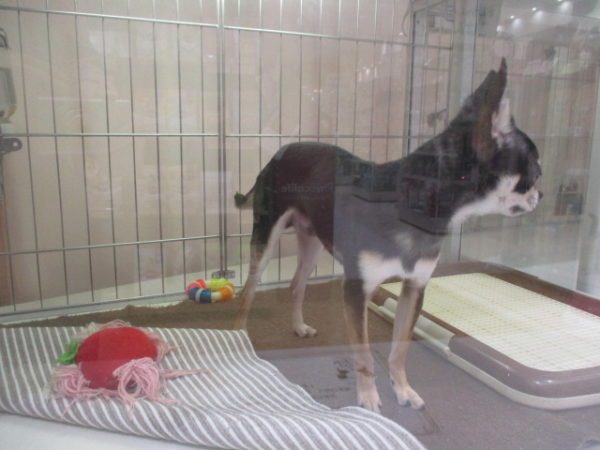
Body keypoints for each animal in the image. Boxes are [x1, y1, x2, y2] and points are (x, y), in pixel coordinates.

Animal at [233, 59, 542, 413]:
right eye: (534, 172)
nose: (542, 194)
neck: (414, 204)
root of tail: (281, 151)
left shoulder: (414, 289)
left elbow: (399, 350)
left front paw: (403, 389)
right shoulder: (356, 291)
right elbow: (364, 353)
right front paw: (368, 400)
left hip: (311, 242)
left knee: (296, 285)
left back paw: (298, 326)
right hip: (265, 239)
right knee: (248, 292)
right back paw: (237, 340)